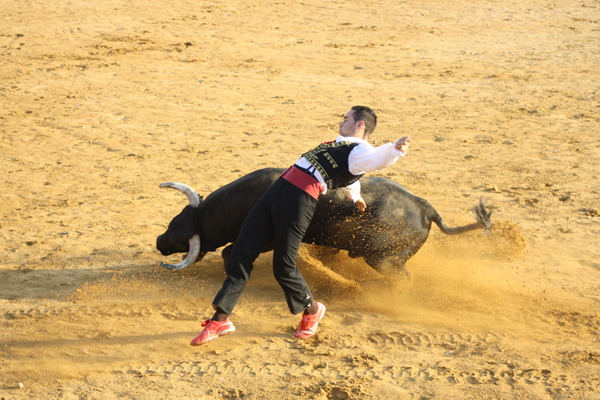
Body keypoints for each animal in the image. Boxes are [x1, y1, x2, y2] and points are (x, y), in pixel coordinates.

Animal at [156, 168, 492, 276]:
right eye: (173, 221)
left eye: (180, 235)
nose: (159, 242)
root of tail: (425, 208)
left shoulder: (266, 241)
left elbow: (230, 253)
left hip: (383, 260)